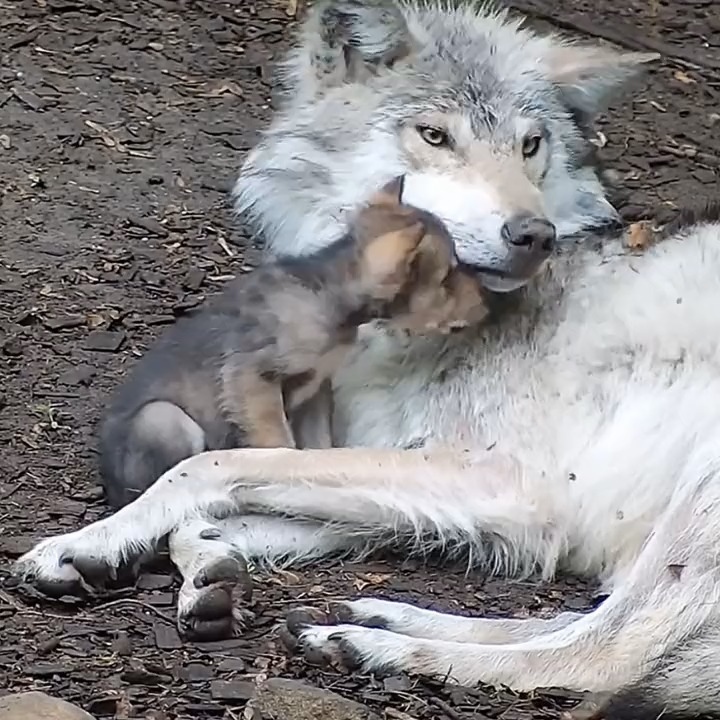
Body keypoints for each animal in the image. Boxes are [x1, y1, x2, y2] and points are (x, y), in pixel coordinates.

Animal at [99, 176, 493, 509]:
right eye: (447, 276)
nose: (488, 301)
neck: (328, 294)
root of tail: (108, 486)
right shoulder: (252, 378)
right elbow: (279, 442)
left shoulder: (316, 389)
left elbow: (317, 446)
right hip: (164, 418)